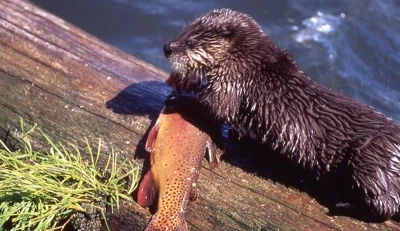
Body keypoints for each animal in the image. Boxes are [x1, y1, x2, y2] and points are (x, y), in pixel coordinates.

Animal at [162, 7, 400, 220]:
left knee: (385, 204)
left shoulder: (233, 81)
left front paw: (179, 98)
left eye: (191, 42)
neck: (247, 60)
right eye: (183, 31)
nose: (167, 47)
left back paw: (342, 204)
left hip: (371, 161)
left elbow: (216, 107)